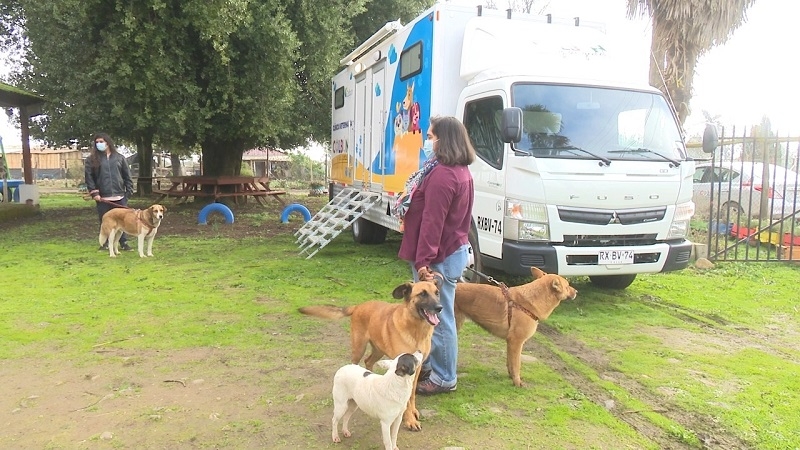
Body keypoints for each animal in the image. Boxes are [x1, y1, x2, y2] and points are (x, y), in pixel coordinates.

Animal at [296, 282, 440, 432]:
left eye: (437, 293)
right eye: (422, 294)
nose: (439, 308)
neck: (416, 330)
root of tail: (358, 306)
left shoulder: (417, 367)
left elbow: (411, 394)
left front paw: (412, 412)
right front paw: (410, 420)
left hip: (378, 350)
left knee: (368, 361)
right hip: (359, 348)